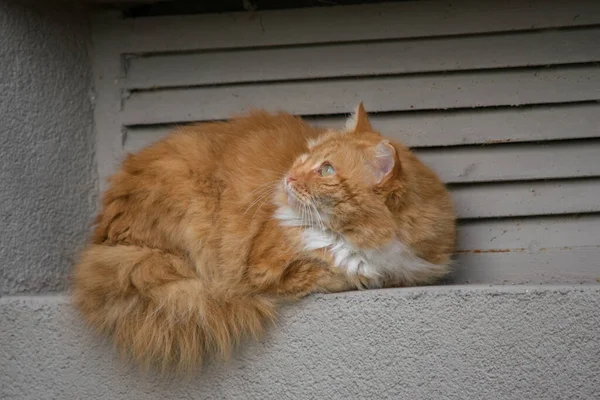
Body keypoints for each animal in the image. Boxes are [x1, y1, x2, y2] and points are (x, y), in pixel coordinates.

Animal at [71, 103, 454, 372]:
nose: (289, 175)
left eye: (326, 170)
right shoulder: (265, 268)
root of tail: (104, 240)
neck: (367, 238)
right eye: (305, 156)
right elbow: (336, 271)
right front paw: (358, 273)